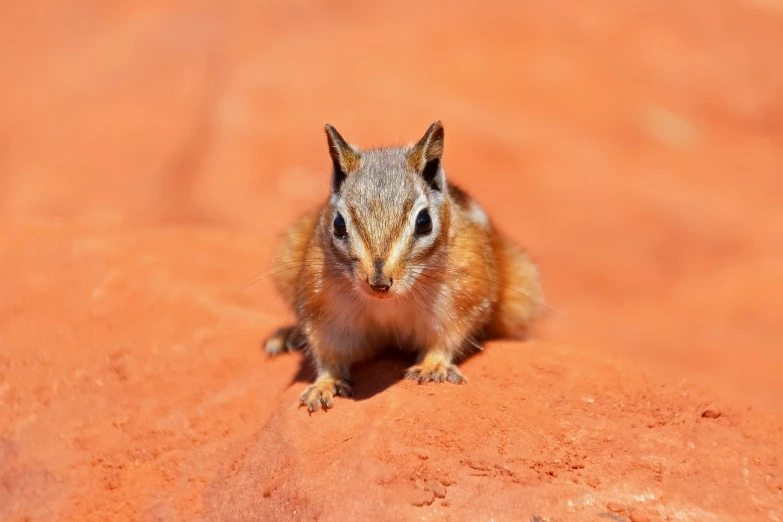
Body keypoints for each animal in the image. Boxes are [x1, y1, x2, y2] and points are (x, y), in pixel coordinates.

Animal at [266, 121, 544, 410]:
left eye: (424, 222)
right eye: (338, 224)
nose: (379, 284)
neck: (387, 304)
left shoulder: (461, 299)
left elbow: (446, 339)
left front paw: (432, 366)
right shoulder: (325, 310)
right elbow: (328, 352)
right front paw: (325, 384)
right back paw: (288, 336)